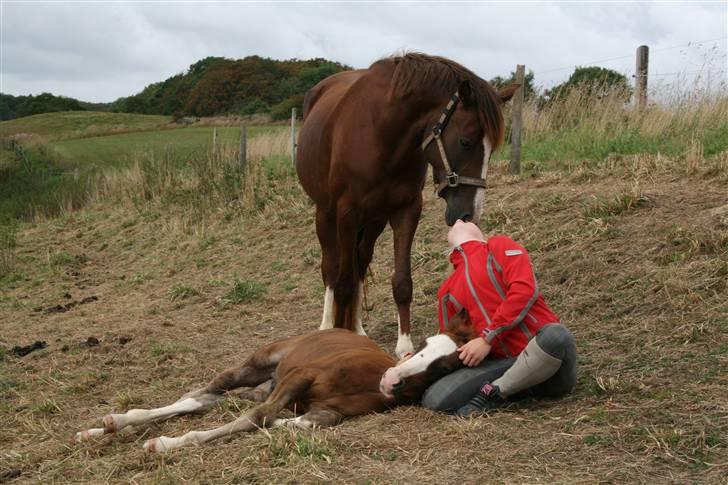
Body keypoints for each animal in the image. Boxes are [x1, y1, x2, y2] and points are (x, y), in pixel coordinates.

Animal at [77, 308, 480, 452]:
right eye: (423, 344)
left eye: (443, 367)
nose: (392, 379)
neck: (366, 381)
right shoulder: (302, 375)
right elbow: (257, 420)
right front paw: (165, 444)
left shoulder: (327, 413)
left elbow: (289, 422)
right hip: (259, 365)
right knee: (201, 392)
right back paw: (109, 425)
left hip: (264, 387)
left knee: (205, 401)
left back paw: (102, 429)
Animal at [296, 53, 516, 356]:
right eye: (465, 141)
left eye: (491, 149)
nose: (470, 213)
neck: (381, 135)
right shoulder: (346, 214)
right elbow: (342, 284)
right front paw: (338, 339)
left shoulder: (406, 211)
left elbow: (402, 282)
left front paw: (404, 347)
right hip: (326, 214)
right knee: (331, 268)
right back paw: (328, 327)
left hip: (374, 220)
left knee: (360, 264)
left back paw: (358, 329)